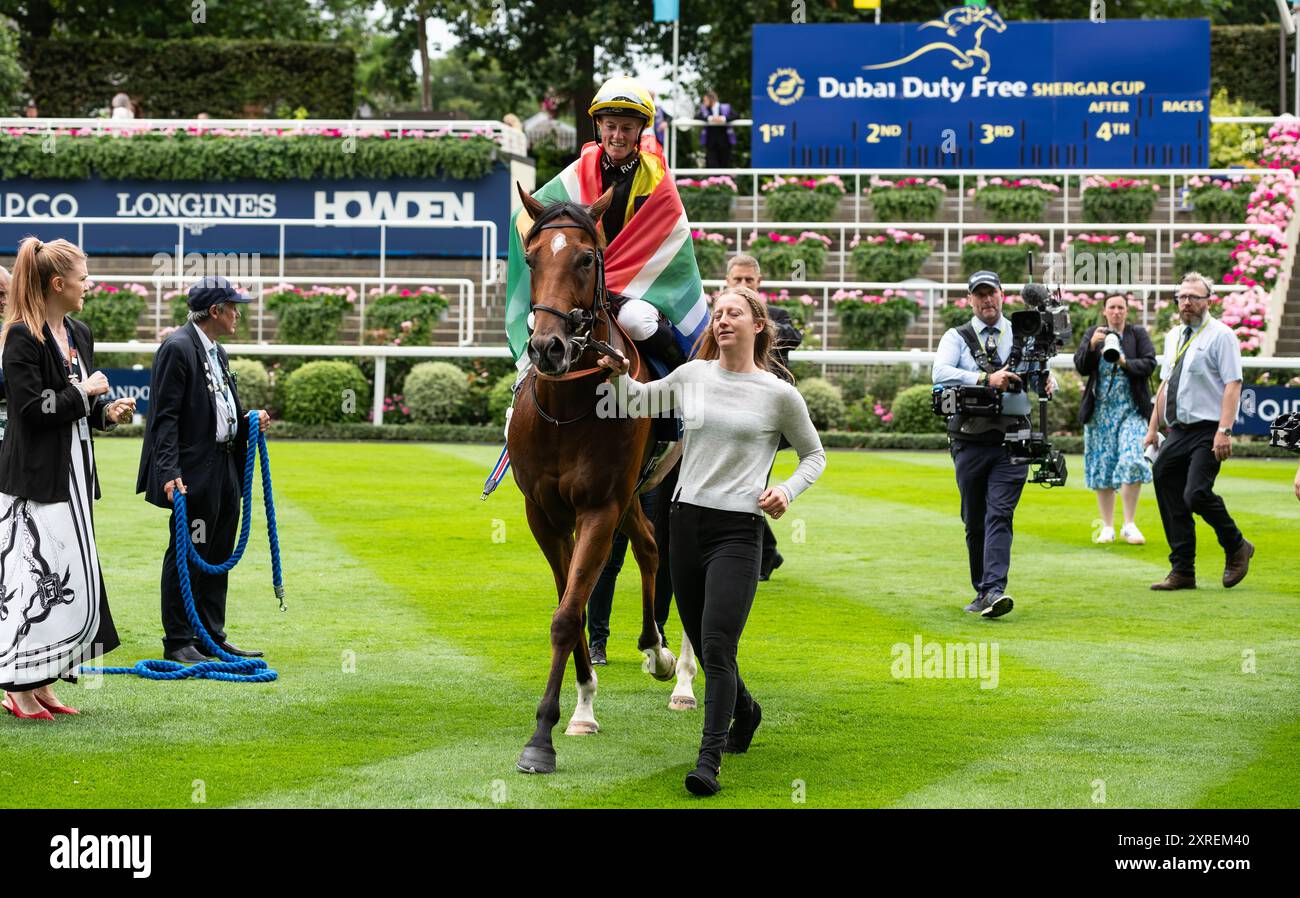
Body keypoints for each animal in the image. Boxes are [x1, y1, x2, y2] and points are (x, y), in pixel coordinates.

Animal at [506, 180, 681, 774]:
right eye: (532, 258)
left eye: (587, 257)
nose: (547, 347)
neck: (567, 409)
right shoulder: (546, 514)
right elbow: (573, 605)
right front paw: (580, 706)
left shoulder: (599, 507)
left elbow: (567, 615)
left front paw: (540, 738)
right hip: (629, 497)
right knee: (649, 546)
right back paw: (653, 650)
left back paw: (674, 667)